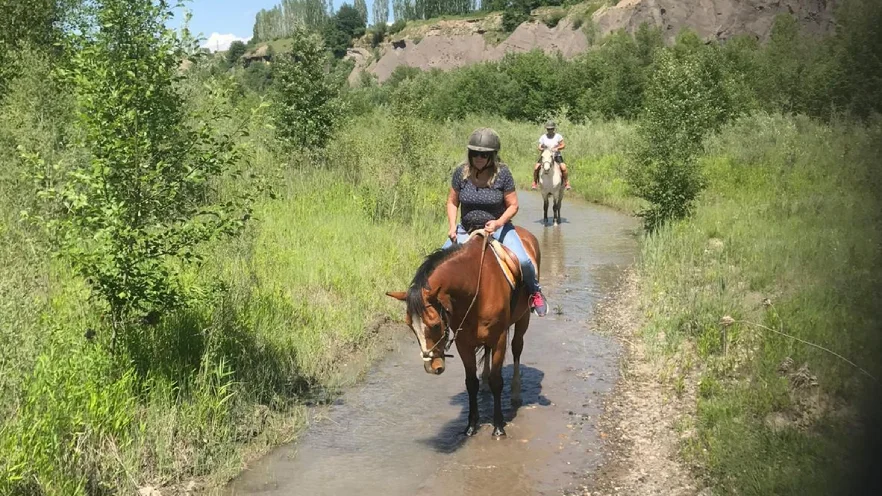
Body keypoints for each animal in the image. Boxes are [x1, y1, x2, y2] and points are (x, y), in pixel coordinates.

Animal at [384, 227, 536, 436]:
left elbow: (497, 381)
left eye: (435, 325)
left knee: (516, 349)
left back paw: (515, 393)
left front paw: (498, 427)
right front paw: (470, 426)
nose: (432, 367)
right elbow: (471, 383)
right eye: (410, 326)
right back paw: (485, 381)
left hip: (523, 318)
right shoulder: (463, 342)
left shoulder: (499, 338)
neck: (475, 287)